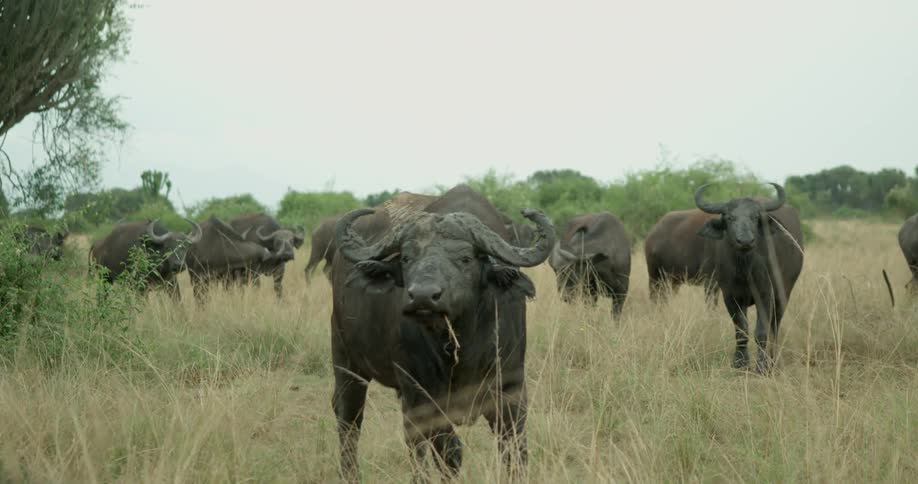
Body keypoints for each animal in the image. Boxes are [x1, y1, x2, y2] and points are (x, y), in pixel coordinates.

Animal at [329, 184, 553, 481]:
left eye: (465, 258)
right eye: (407, 257)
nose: (423, 296)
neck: (464, 342)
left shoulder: (511, 387)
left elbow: (515, 449)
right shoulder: (422, 393)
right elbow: (450, 452)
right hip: (346, 362)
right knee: (350, 419)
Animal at [694, 183, 804, 373]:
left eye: (755, 217)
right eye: (730, 217)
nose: (745, 241)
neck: (743, 269)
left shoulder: (765, 294)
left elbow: (761, 332)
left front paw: (762, 366)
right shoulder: (730, 296)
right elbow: (741, 329)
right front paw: (740, 363)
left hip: (784, 293)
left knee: (775, 326)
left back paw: (773, 358)